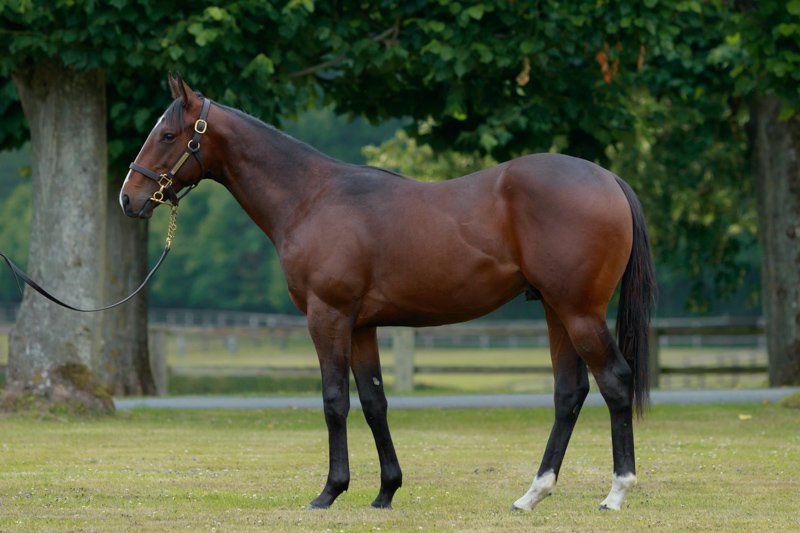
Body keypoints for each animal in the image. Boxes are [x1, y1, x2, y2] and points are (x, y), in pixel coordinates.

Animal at [120, 76, 656, 512]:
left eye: (168, 135)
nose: (129, 198)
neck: (311, 198)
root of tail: (607, 178)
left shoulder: (328, 317)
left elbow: (335, 400)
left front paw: (330, 491)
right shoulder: (362, 326)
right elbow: (374, 402)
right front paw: (385, 491)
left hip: (578, 311)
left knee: (614, 381)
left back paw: (616, 492)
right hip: (555, 310)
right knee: (569, 392)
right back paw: (533, 494)